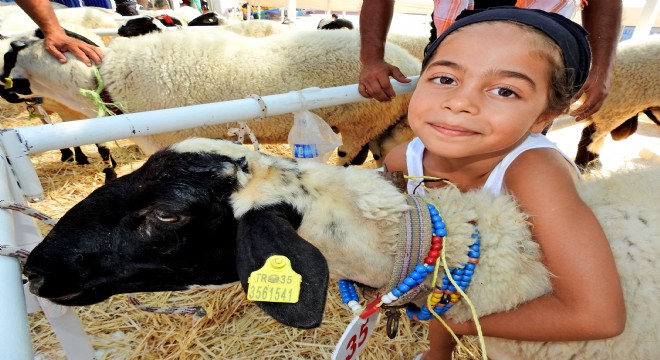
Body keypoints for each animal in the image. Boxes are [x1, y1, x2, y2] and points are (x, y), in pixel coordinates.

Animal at [1, 27, 422, 165]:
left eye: (7, 55)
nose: (8, 97)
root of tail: (402, 63)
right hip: (377, 126)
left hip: (360, 123)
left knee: (351, 159)